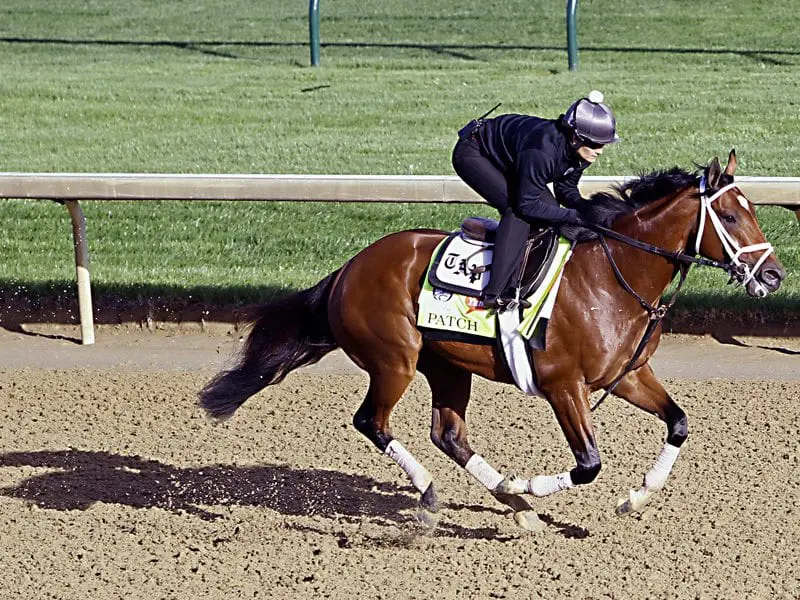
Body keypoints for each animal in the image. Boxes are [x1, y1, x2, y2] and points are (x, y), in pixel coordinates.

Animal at [197, 152, 784, 532]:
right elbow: (588, 464)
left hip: (447, 366)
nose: (774, 276)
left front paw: (634, 499)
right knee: (373, 422)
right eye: (730, 215)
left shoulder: (628, 375)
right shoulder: (563, 385)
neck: (614, 275)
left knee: (448, 434)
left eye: (753, 210)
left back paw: (513, 505)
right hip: (395, 360)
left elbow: (679, 423)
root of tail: (348, 268)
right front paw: (532, 486)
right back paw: (442, 493)